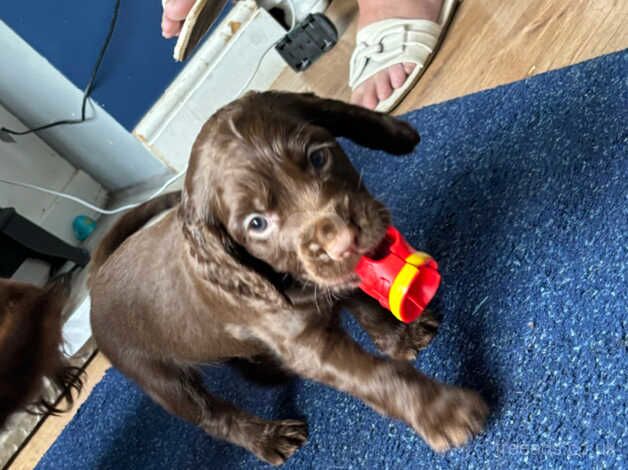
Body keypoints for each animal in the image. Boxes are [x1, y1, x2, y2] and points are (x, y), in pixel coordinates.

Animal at [91, 91, 488, 462]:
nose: (344, 243)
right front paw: (442, 413)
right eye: (257, 223)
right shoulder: (307, 344)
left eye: (318, 158)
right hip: (160, 378)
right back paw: (267, 438)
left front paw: (402, 337)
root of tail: (95, 284)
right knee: (213, 416)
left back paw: (267, 371)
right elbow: (378, 376)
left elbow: (365, 305)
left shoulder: (331, 279)